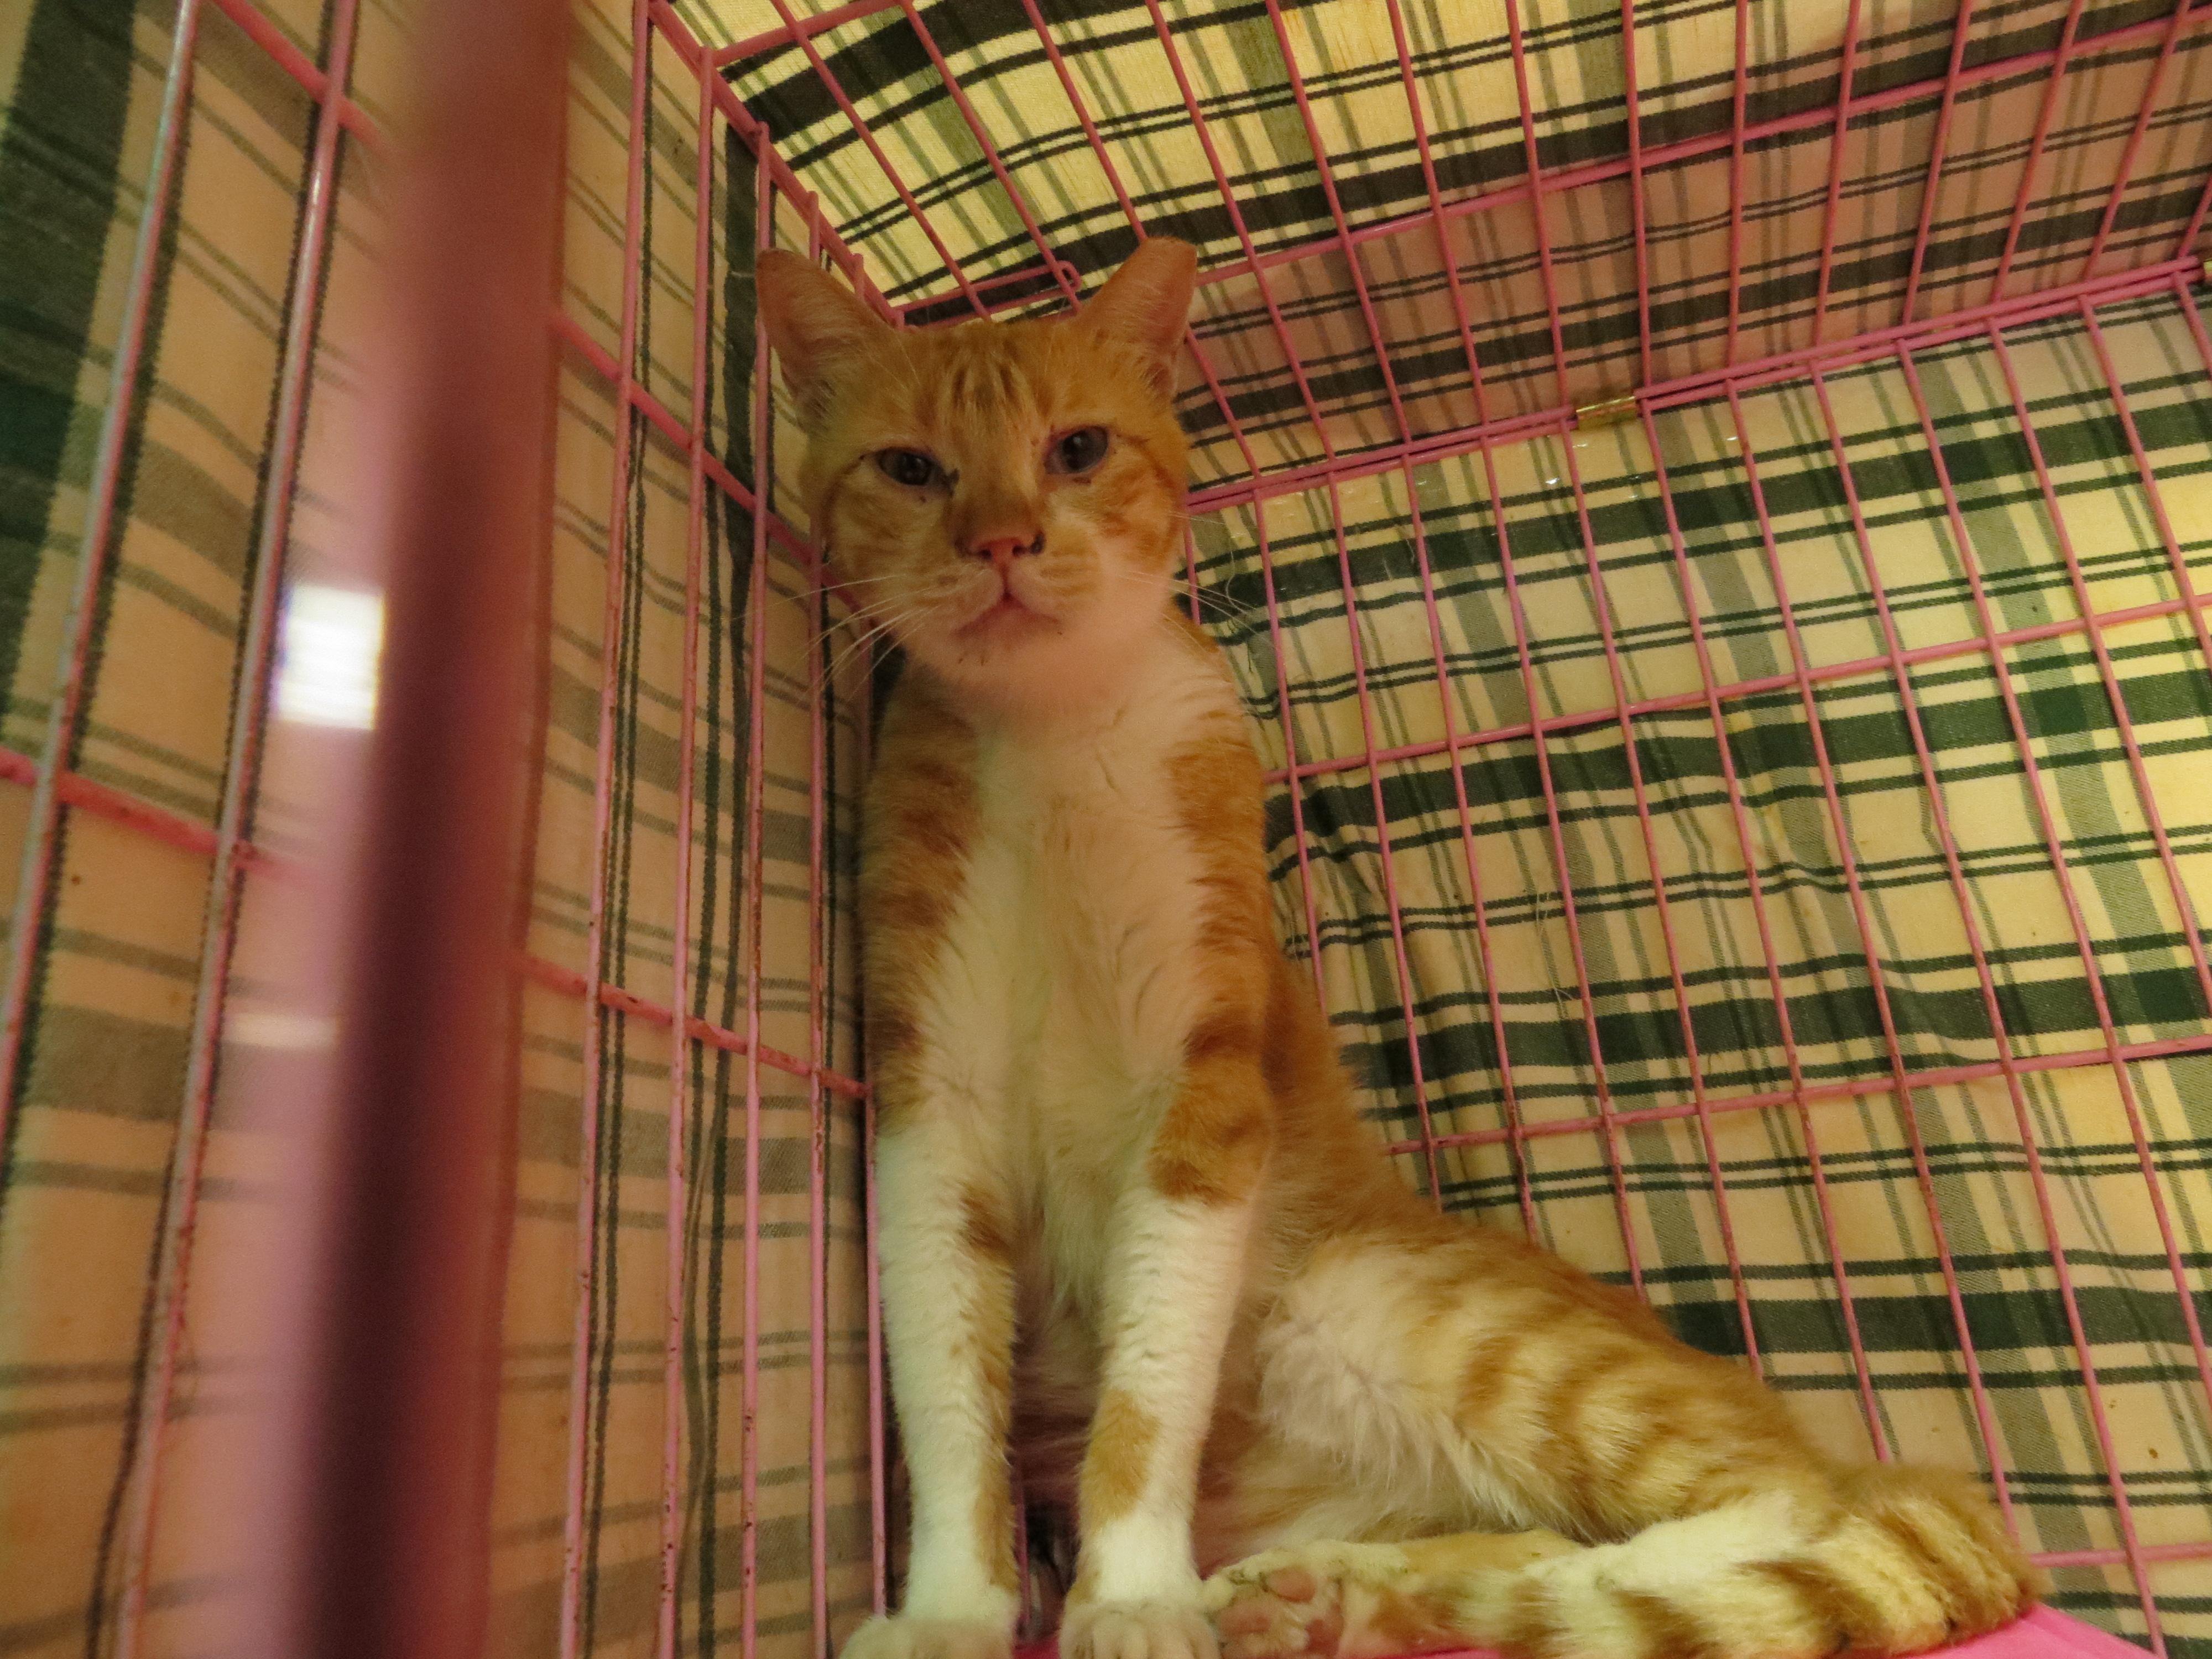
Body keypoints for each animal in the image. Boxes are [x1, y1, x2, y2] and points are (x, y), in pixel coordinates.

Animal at [754, 237, 2039, 1659]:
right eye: (910, 467)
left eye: (1076, 448)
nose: (998, 539)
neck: (1051, 730)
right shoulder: (930, 1103)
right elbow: (945, 1394)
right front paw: (954, 1610)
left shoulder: (1203, 1092)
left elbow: (1147, 1391)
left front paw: (1128, 1595)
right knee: (1550, 1541)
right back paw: (1349, 1595)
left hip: (1417, 1320)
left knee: (1789, 1511)